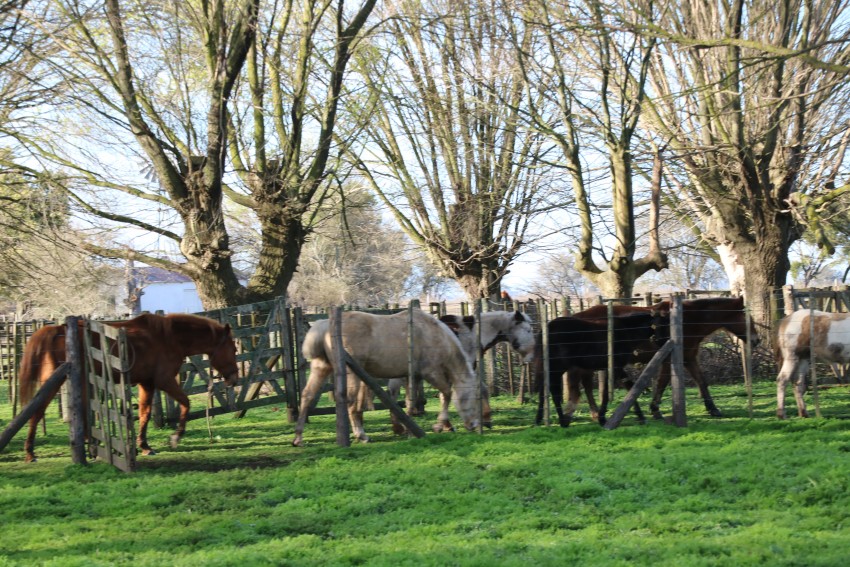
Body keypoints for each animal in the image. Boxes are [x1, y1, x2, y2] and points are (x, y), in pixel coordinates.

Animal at [17, 313, 240, 462]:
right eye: (233, 348)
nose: (235, 378)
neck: (169, 338)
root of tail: (55, 330)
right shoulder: (165, 380)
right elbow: (185, 403)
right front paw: (176, 437)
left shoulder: (147, 383)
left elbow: (145, 414)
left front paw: (144, 446)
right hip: (56, 382)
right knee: (38, 412)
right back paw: (30, 453)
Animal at [293, 308, 481, 445]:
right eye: (472, 398)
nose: (474, 425)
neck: (434, 335)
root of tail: (327, 325)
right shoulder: (431, 373)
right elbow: (446, 394)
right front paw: (439, 425)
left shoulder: (411, 376)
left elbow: (409, 402)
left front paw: (408, 429)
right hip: (351, 374)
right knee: (351, 404)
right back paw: (361, 435)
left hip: (321, 368)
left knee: (307, 396)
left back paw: (298, 438)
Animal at [534, 311, 667, 427]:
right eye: (661, 326)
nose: (666, 344)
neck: (626, 332)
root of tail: (545, 329)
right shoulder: (615, 367)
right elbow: (612, 391)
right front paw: (602, 419)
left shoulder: (615, 368)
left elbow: (626, 387)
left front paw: (639, 416)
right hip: (557, 368)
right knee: (554, 393)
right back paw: (562, 421)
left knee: (543, 391)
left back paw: (540, 419)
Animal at [567, 296, 758, 421]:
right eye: (747, 319)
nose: (757, 340)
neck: (688, 319)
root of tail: (579, 316)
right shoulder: (669, 359)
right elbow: (662, 383)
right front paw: (655, 409)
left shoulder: (689, 358)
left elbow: (701, 381)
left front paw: (713, 409)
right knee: (586, 385)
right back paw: (595, 413)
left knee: (586, 385)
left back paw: (595, 413)